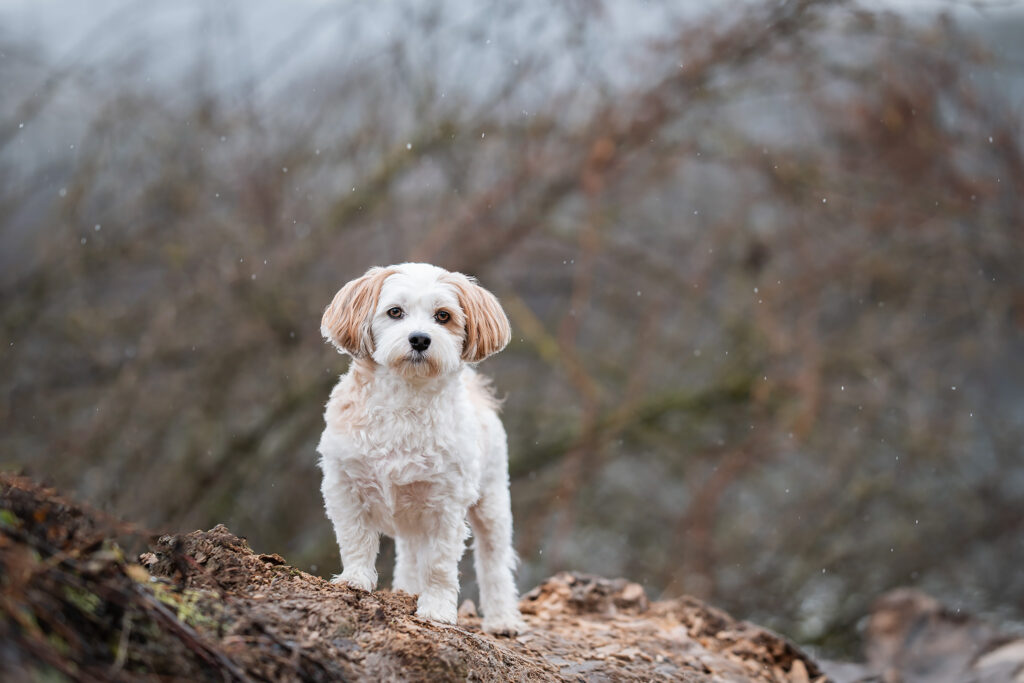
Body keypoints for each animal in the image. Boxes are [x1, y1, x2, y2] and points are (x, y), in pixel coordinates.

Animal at [315, 264, 524, 634]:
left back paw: (502, 619)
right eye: (395, 312)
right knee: (411, 555)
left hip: (492, 503)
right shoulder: (344, 486)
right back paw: (406, 590)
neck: (405, 400)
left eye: (443, 316)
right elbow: (356, 538)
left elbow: (439, 564)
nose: (420, 339)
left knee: (494, 562)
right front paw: (355, 579)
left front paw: (437, 610)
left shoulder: (446, 505)